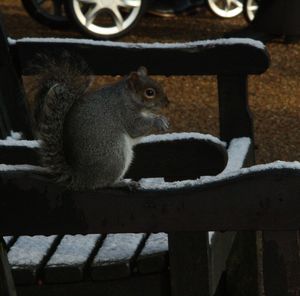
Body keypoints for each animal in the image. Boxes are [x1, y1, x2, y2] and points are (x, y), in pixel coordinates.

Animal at [33, 59, 169, 191]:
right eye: (149, 92)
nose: (167, 103)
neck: (127, 97)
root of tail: (81, 178)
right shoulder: (124, 112)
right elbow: (135, 128)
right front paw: (158, 121)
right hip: (114, 155)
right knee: (103, 183)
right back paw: (122, 183)